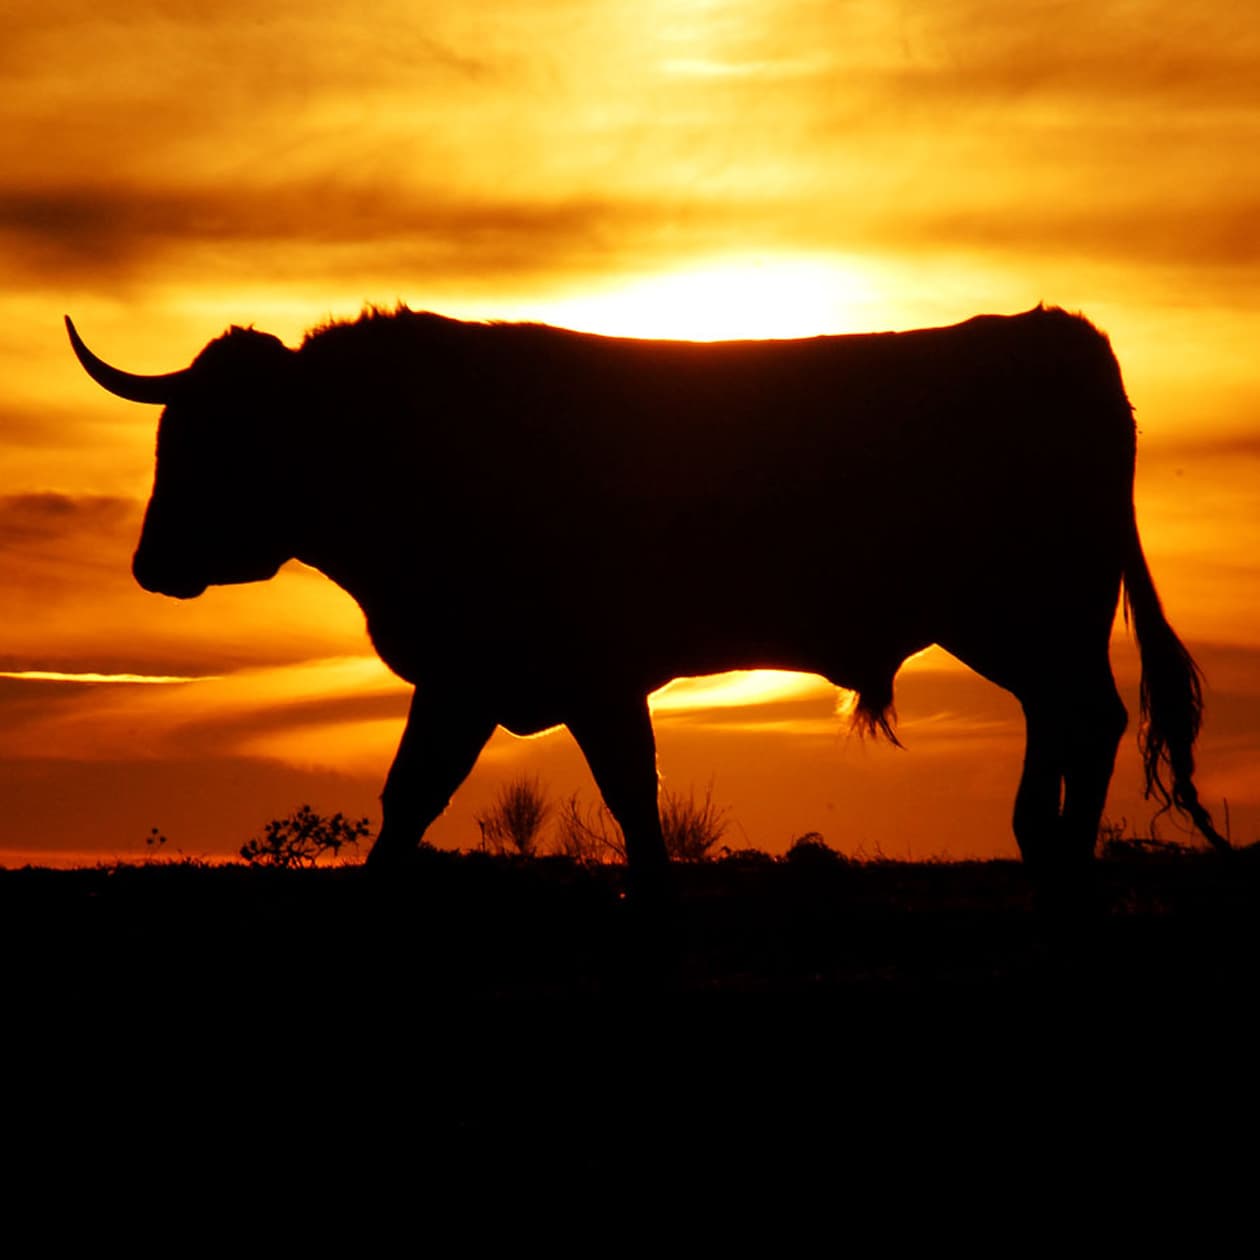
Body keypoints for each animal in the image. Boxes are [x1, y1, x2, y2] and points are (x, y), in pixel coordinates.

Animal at [66, 304, 1227, 892]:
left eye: (221, 442)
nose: (151, 562)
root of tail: (1064, 332)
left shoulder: (578, 673)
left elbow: (628, 799)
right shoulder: (472, 677)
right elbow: (411, 800)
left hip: (1035, 614)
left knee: (1092, 720)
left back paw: (1063, 862)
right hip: (1026, 626)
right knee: (1065, 725)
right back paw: (1042, 846)